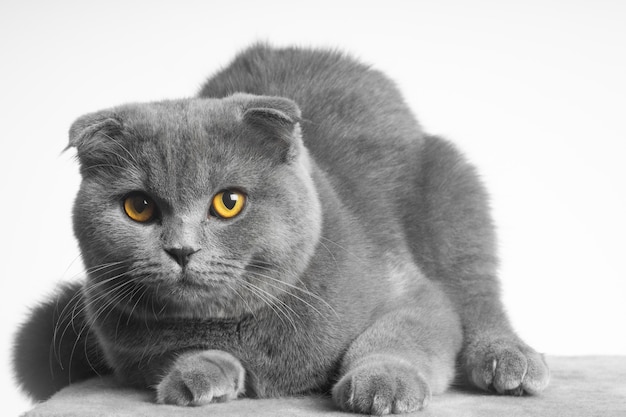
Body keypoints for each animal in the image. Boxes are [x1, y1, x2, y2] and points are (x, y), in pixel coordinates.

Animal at [13, 44, 544, 414]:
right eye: (139, 207)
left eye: (228, 202)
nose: (182, 250)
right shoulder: (125, 349)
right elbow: (183, 354)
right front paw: (199, 375)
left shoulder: (411, 292)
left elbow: (398, 335)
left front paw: (382, 384)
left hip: (453, 195)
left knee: (478, 298)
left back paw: (508, 362)